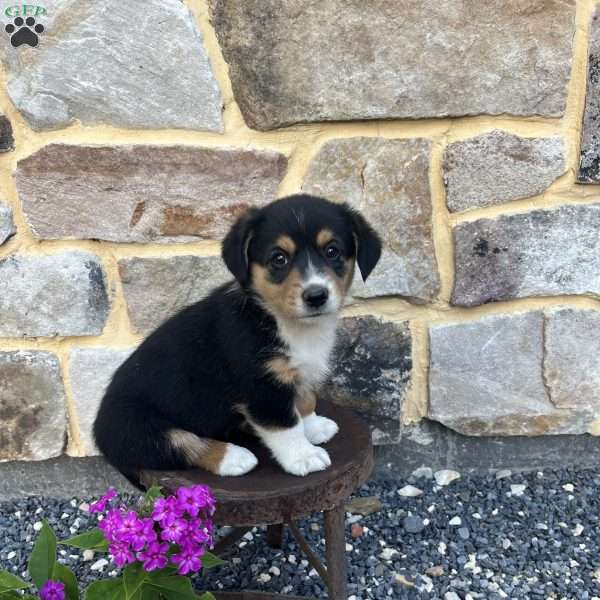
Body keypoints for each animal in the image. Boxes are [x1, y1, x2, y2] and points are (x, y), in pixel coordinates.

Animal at [96, 195, 382, 486]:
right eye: (279, 258)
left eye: (332, 251)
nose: (316, 296)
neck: (282, 320)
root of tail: (98, 428)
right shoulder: (262, 386)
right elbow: (286, 425)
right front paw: (304, 456)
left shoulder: (295, 374)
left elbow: (304, 401)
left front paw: (313, 426)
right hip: (138, 427)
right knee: (183, 444)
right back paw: (234, 457)